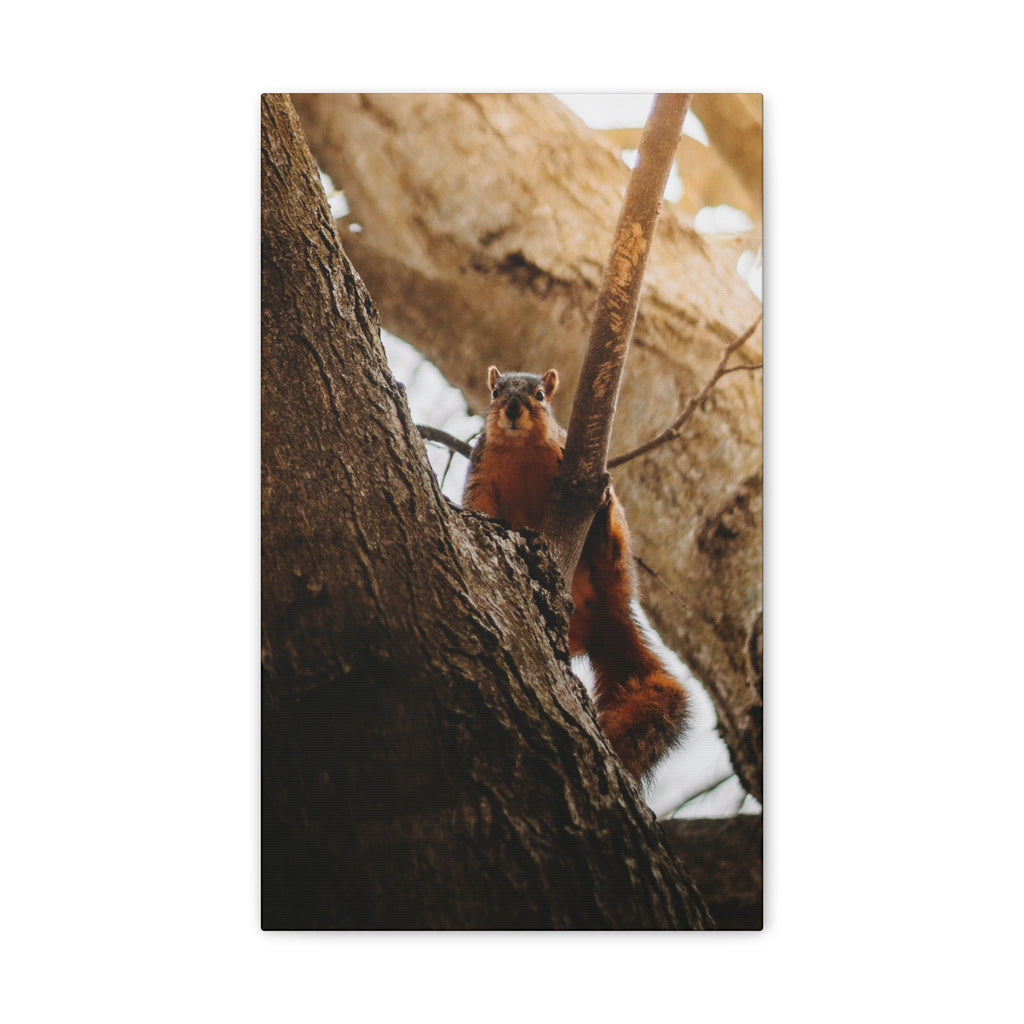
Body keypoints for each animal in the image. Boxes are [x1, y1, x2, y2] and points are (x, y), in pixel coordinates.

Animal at [463, 365, 689, 782]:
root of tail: (607, 615)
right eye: (495, 393)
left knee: (611, 555)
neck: (521, 450)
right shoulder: (481, 475)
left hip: (618, 566)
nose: (513, 409)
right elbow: (480, 507)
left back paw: (602, 530)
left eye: (540, 395)